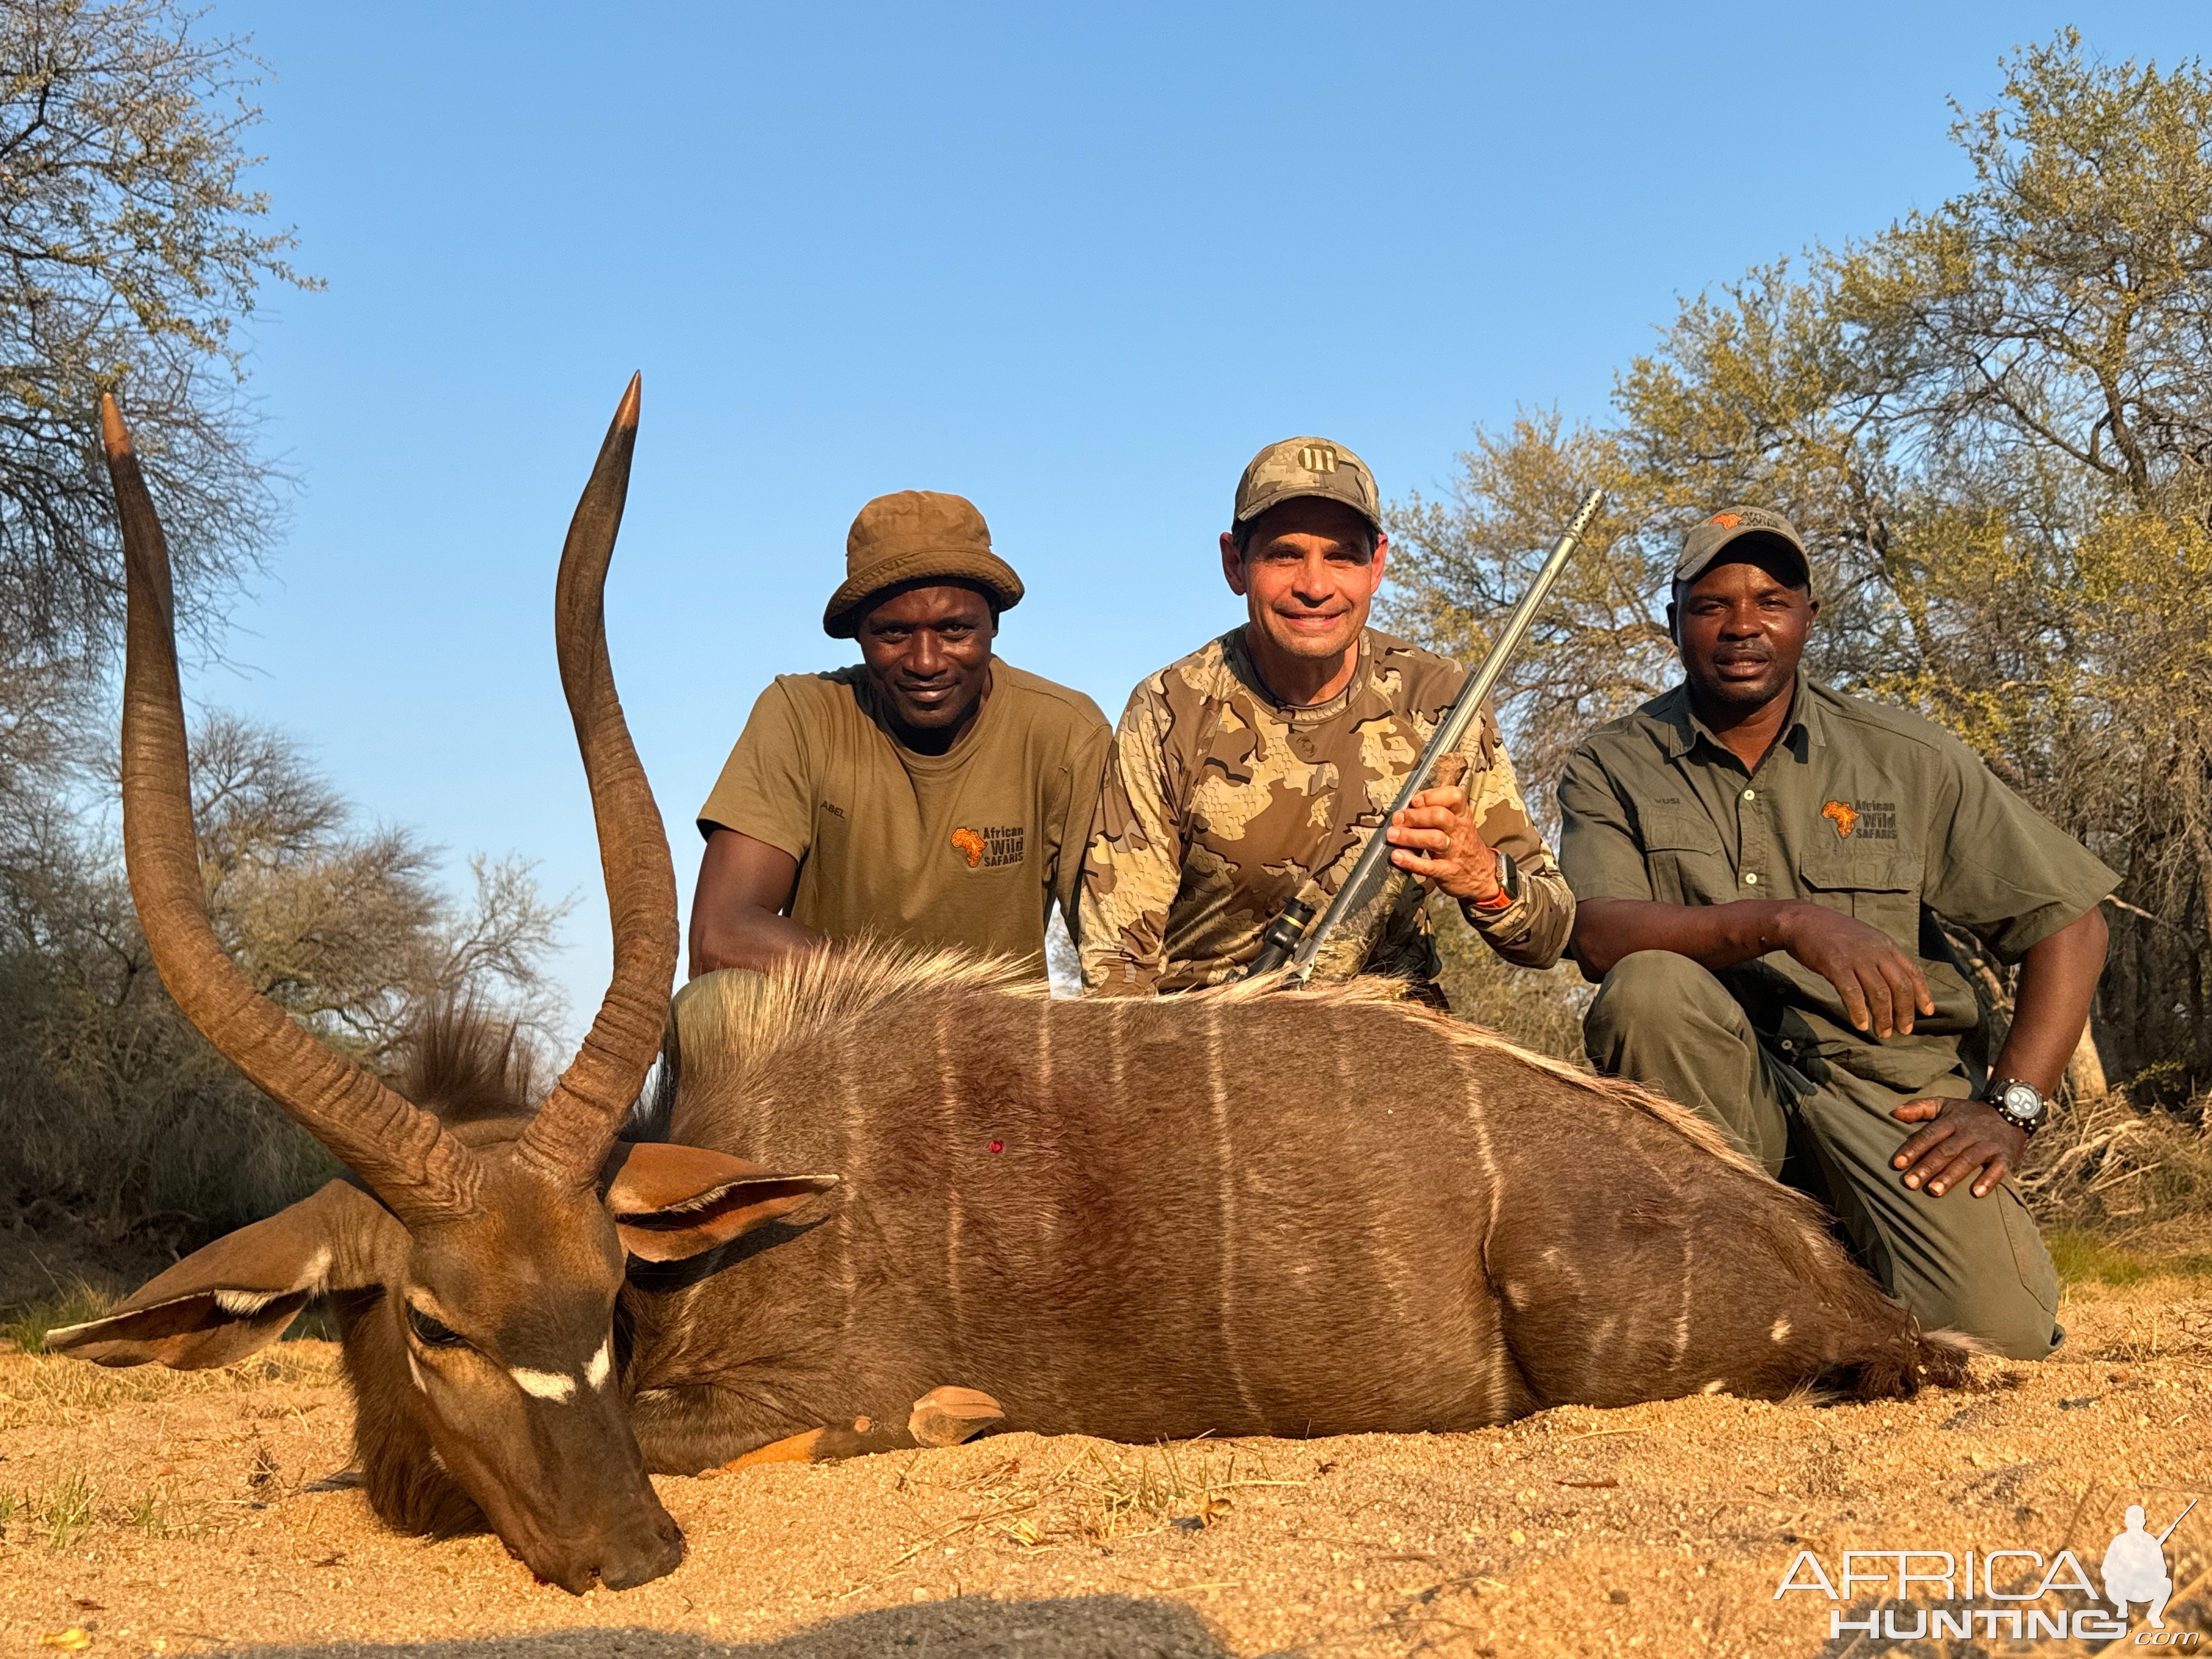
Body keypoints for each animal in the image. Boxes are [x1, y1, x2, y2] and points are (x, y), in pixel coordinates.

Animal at [52, 380, 1964, 1601]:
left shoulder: (795, 1392)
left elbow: (837, 1422)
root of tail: (1819, 1258)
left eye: (604, 1291)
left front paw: (952, 1421)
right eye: (435, 1322)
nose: (633, 1558)